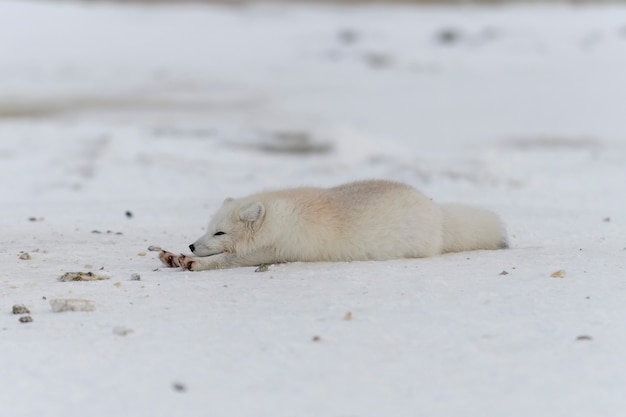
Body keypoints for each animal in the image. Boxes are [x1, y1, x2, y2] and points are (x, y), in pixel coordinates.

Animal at [158, 178, 504, 270]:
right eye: (207, 228)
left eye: (220, 232)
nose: (191, 244)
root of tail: (437, 212)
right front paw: (175, 254)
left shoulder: (276, 251)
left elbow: (226, 260)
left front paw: (191, 261)